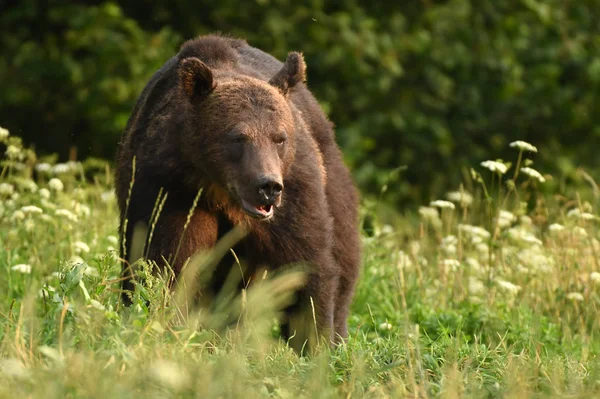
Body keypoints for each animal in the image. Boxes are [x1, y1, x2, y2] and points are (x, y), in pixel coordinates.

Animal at [116, 34, 360, 352]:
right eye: (238, 137)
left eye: (279, 138)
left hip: (332, 179)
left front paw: (314, 343)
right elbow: (168, 263)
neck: (220, 190)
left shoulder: (295, 193)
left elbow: (305, 261)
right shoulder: (170, 190)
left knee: (343, 252)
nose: (268, 187)